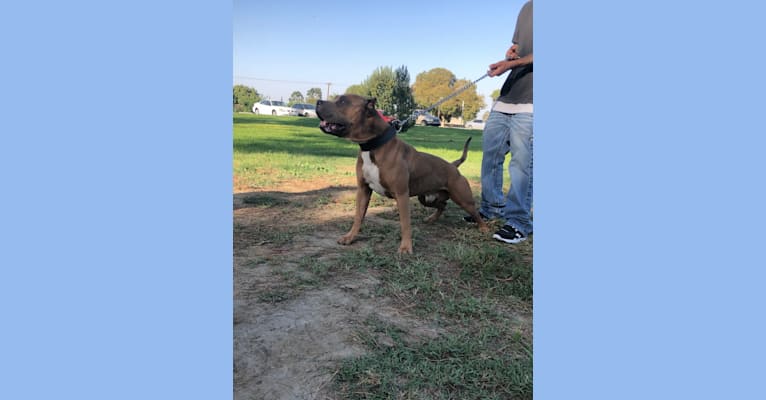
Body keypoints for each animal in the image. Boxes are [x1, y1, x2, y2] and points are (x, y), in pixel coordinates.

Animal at [316, 94, 488, 253]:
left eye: (343, 101)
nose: (318, 101)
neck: (373, 146)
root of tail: (453, 166)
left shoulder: (401, 195)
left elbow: (405, 223)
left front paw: (405, 248)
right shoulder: (363, 190)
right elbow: (358, 216)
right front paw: (350, 237)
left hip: (463, 199)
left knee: (475, 214)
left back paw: (484, 228)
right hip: (426, 198)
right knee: (442, 205)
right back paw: (431, 219)